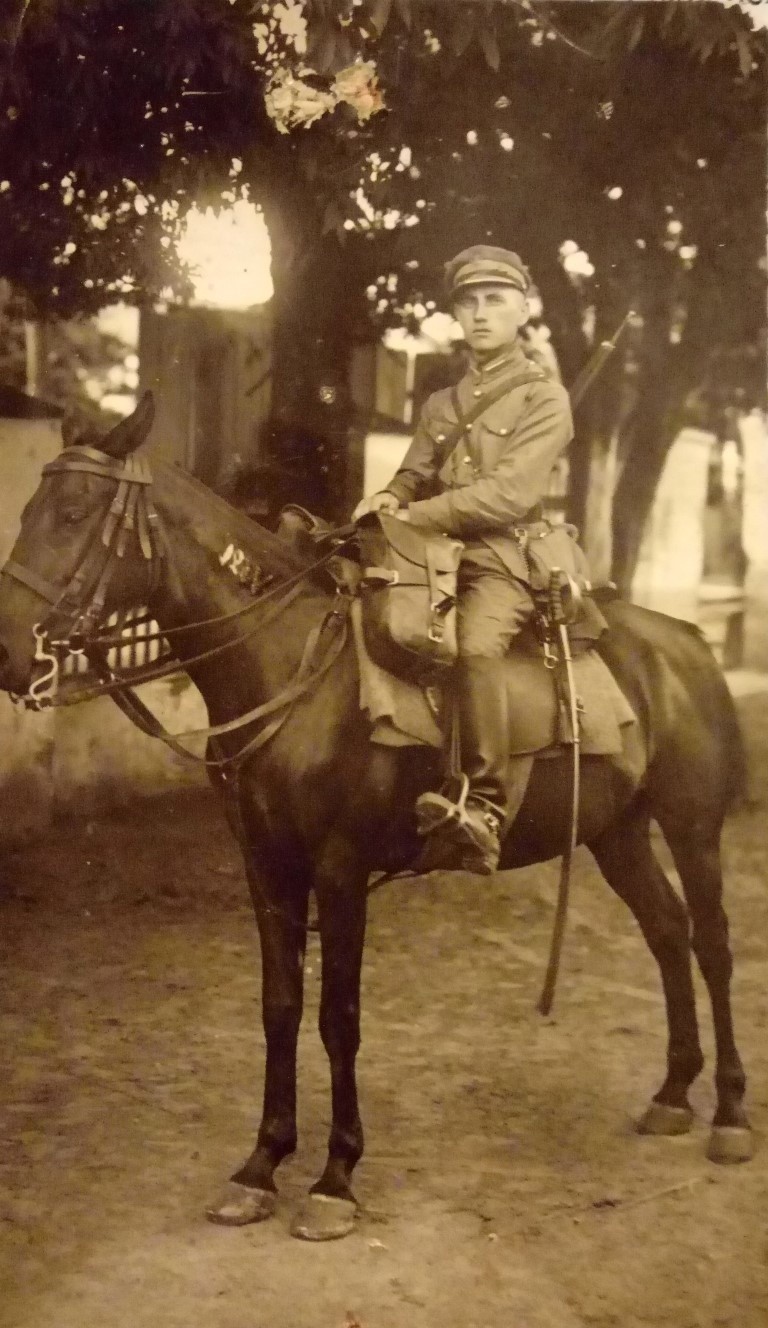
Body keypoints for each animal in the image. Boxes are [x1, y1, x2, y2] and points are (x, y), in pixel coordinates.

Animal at [0, 390, 749, 1232]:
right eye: (30, 508)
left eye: (72, 511)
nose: (7, 654)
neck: (291, 668)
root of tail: (686, 640)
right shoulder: (266, 866)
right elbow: (280, 1005)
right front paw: (262, 1164)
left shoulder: (340, 868)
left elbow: (339, 1015)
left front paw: (335, 1178)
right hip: (617, 834)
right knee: (667, 932)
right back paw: (673, 1093)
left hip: (693, 829)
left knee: (713, 945)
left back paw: (728, 1115)